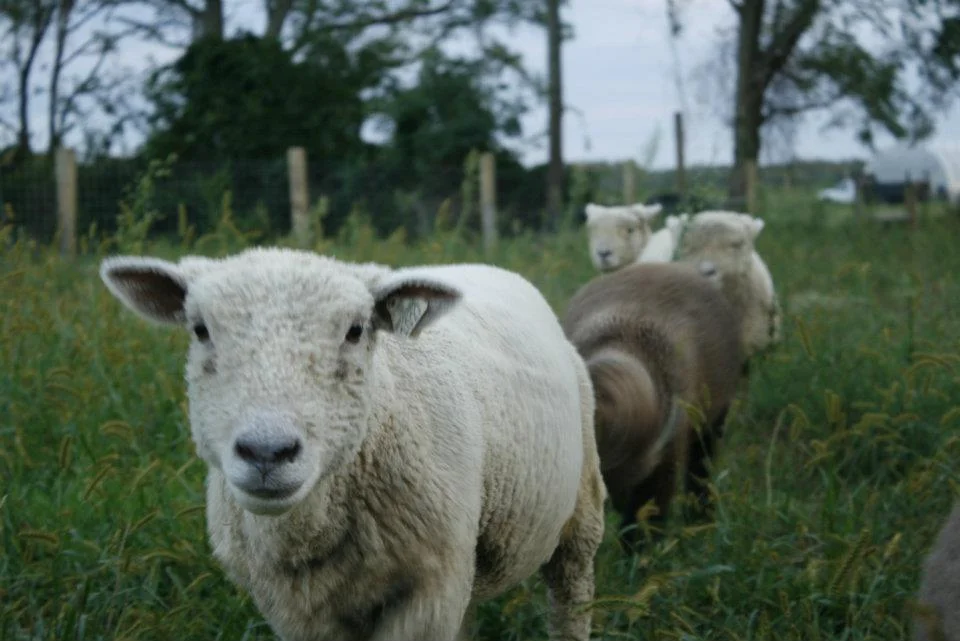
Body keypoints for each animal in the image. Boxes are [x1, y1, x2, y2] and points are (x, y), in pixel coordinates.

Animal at [99, 247, 606, 641]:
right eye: (200, 330)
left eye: (356, 330)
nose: (267, 452)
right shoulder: (293, 608)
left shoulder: (431, 591)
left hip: (580, 514)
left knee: (572, 595)